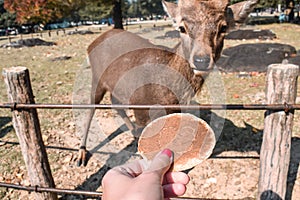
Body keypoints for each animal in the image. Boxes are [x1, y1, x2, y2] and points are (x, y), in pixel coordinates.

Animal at [77, 0, 258, 166]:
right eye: (182, 28)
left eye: (223, 27)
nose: (201, 60)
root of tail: (91, 43)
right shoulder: (139, 107)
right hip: (97, 77)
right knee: (91, 106)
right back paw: (81, 153)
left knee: (114, 102)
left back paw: (133, 132)